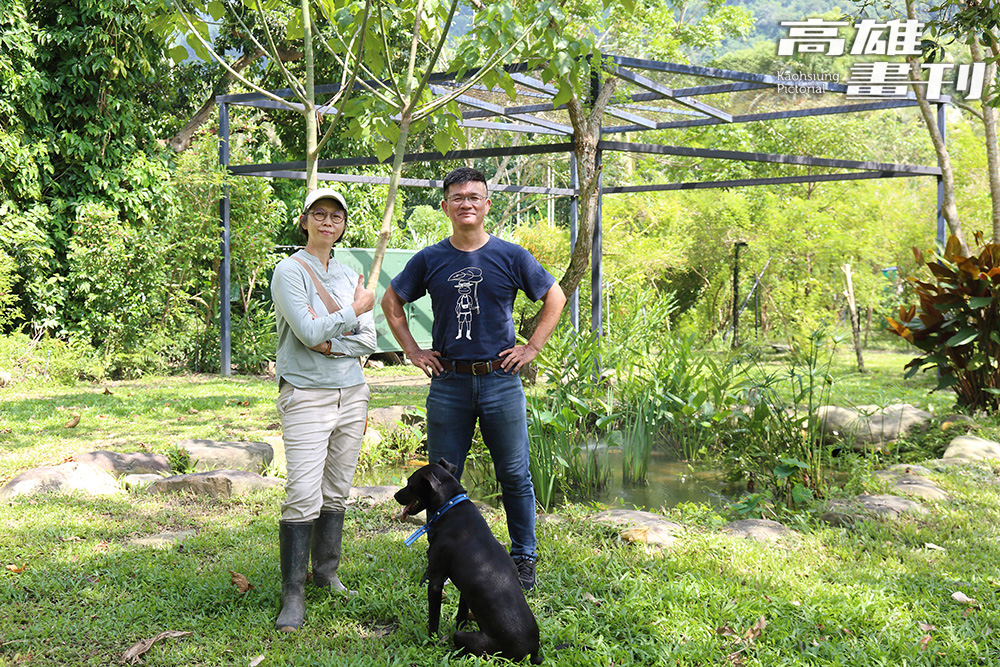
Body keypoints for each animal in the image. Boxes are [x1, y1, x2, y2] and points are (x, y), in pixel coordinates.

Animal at [394, 460, 544, 664]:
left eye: (410, 484)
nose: (395, 495)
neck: (451, 506)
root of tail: (531, 654)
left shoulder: (436, 580)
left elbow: (434, 618)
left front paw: (431, 640)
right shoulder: (465, 587)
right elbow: (461, 614)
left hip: (469, 640)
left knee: (461, 640)